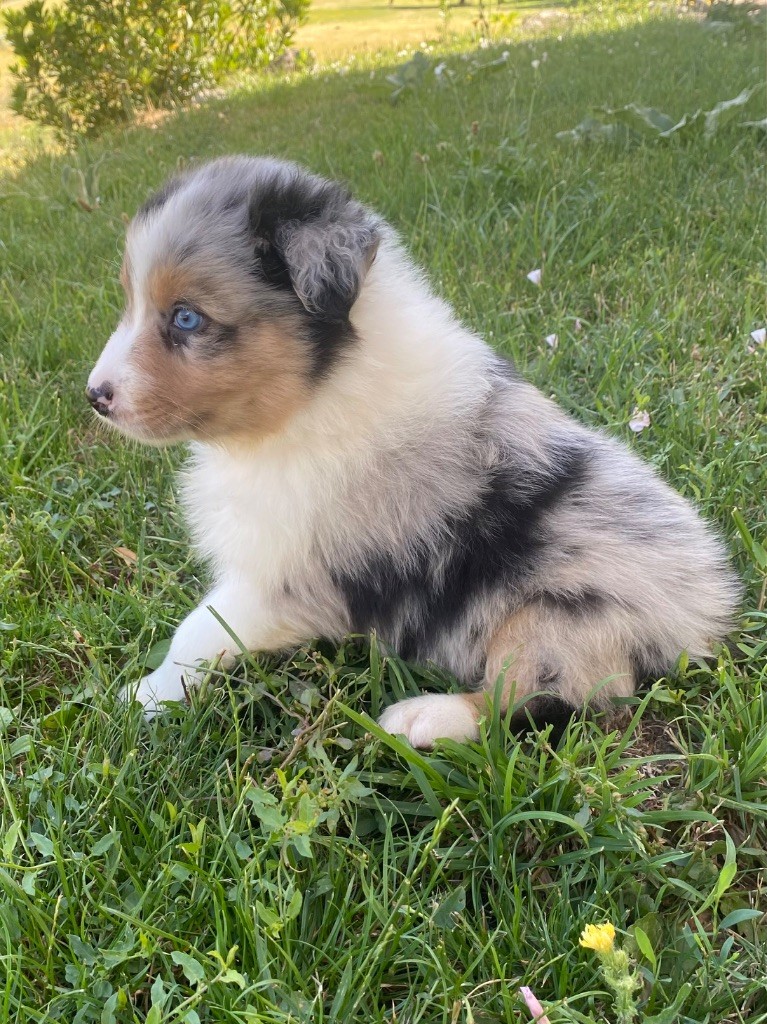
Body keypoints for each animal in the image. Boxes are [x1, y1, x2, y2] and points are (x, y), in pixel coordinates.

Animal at [87, 156, 740, 748]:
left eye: (187, 318)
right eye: (130, 301)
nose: (95, 396)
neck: (318, 392)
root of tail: (708, 615)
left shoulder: (287, 575)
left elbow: (201, 631)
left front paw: (143, 697)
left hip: (566, 611)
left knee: (535, 698)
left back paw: (421, 718)